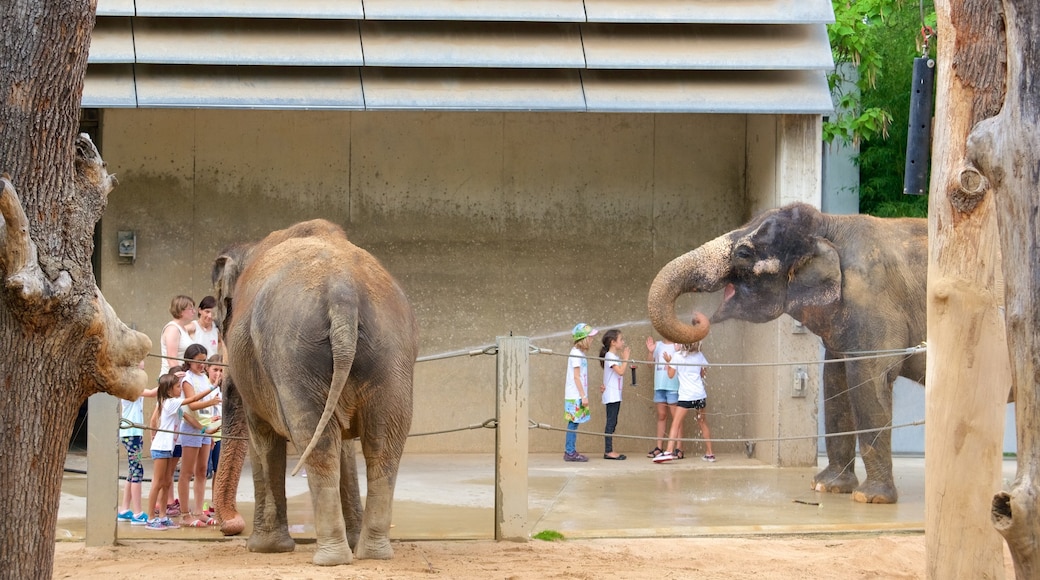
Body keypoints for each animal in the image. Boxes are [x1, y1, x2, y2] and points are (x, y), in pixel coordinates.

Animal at [211, 220, 418, 565]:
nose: (231, 528)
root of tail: (343, 293)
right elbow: (343, 441)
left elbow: (263, 436)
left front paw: (264, 549)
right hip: (392, 352)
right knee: (383, 443)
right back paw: (371, 554)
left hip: (295, 353)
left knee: (316, 439)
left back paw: (332, 558)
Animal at [648, 204, 927, 505]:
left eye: (744, 253)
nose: (697, 316)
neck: (831, 224)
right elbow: (835, 381)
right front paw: (825, 487)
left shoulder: (872, 302)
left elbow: (870, 379)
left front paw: (870, 499)